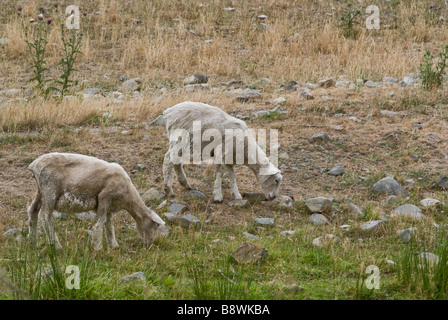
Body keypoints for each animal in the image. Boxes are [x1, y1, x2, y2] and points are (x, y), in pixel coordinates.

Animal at [27, 154, 165, 251]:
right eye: (155, 226)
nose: (150, 244)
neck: (128, 196)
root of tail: (33, 165)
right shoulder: (104, 197)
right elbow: (101, 221)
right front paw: (97, 246)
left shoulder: (110, 206)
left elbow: (109, 224)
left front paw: (113, 245)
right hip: (50, 190)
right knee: (45, 216)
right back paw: (56, 245)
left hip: (41, 191)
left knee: (33, 211)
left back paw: (34, 242)